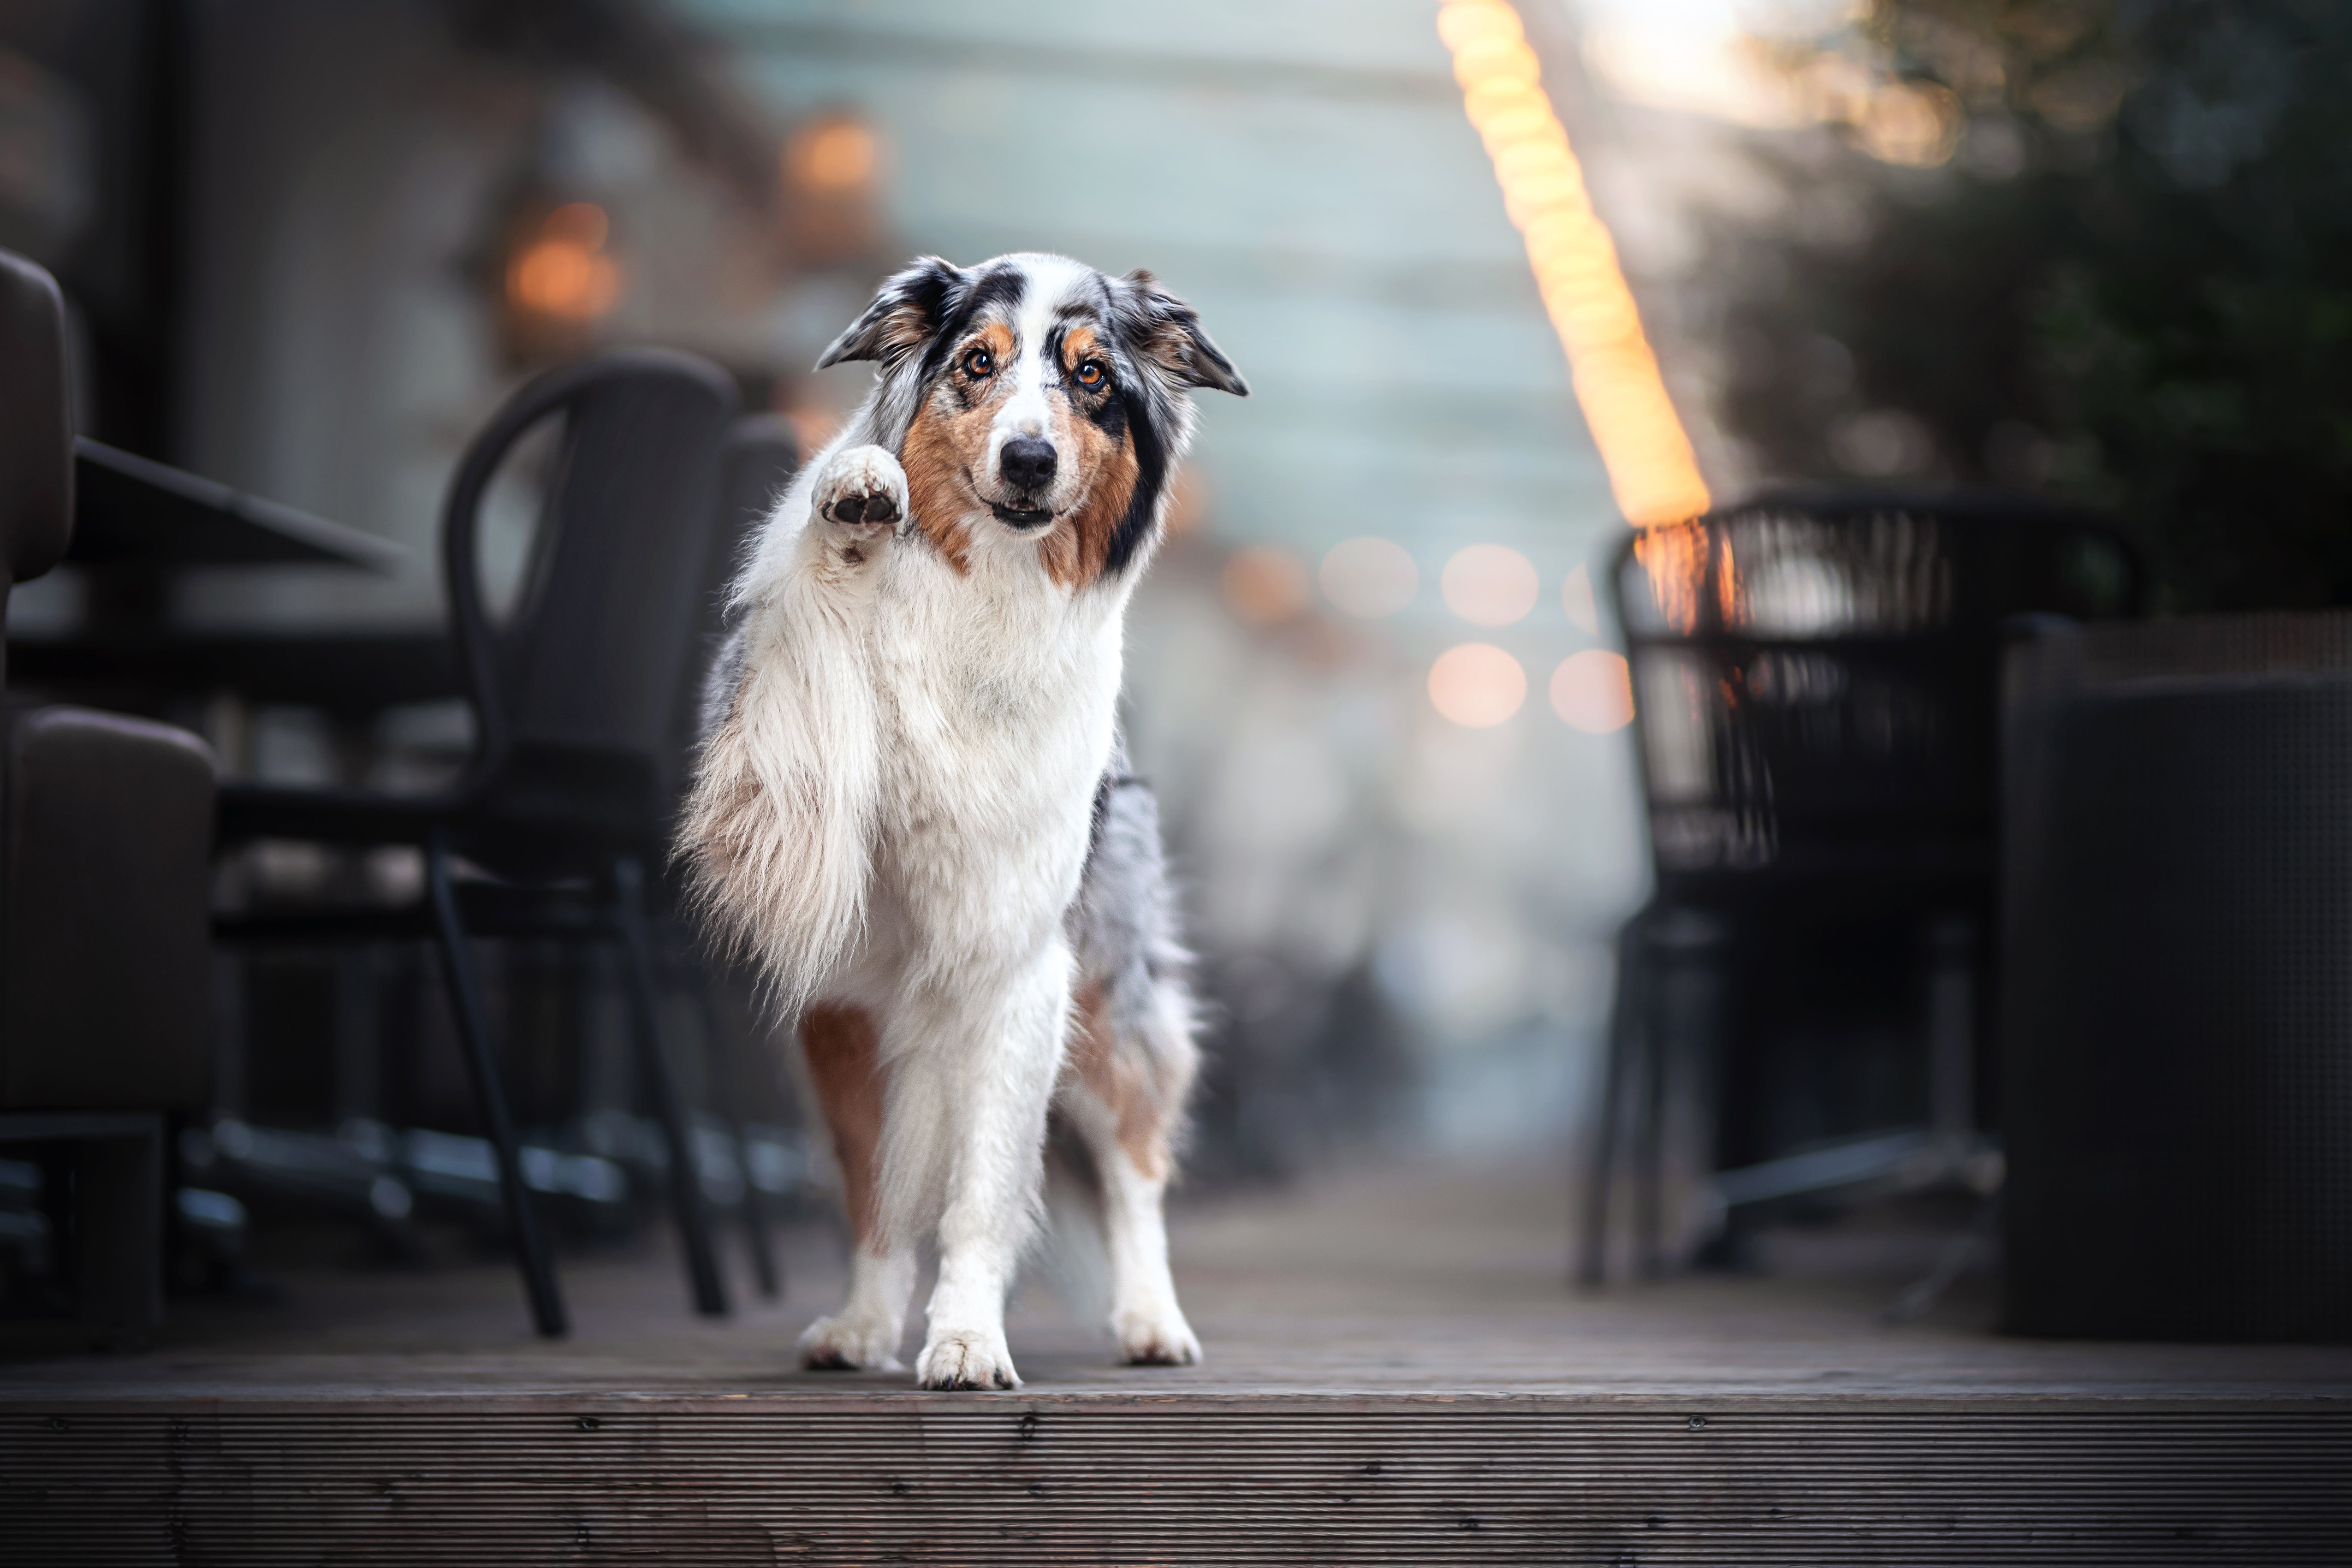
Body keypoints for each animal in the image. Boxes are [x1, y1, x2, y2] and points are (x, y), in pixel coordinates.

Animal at [672, 251, 1241, 1391]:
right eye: (977, 363)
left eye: (1093, 377)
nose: (1027, 458)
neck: (988, 593)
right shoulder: (816, 908)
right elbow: (879, 1188)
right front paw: (857, 496)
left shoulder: (1018, 962)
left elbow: (984, 1186)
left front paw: (969, 1338)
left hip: (1111, 985)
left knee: (1134, 1162)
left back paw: (1152, 1320)